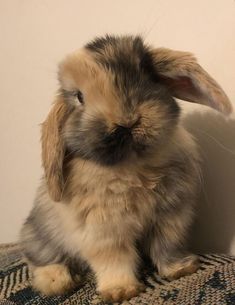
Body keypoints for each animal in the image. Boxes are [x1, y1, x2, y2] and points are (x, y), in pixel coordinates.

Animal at [19, 34, 231, 300]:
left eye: (145, 72)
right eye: (79, 97)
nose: (126, 121)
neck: (134, 167)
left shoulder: (171, 218)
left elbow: (167, 247)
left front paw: (182, 269)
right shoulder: (105, 231)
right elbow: (115, 260)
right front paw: (121, 291)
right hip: (42, 239)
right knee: (39, 261)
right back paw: (58, 281)